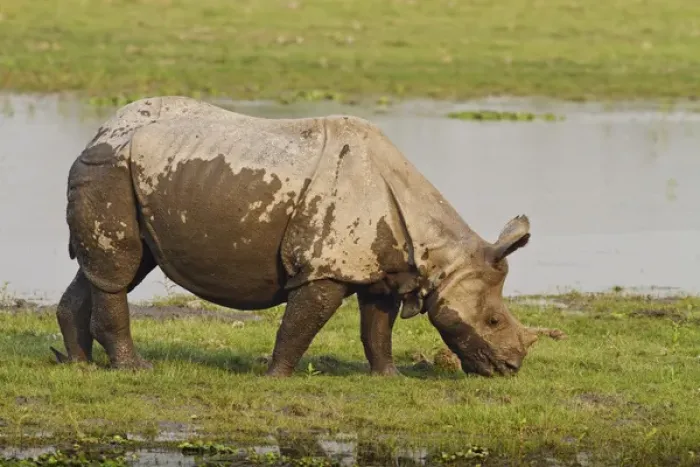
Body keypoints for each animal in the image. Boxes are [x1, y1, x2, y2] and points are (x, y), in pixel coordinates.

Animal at [52, 96, 540, 377]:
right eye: (493, 321)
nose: (512, 367)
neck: (437, 254)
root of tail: (100, 131)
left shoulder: (382, 267)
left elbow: (377, 328)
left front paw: (390, 378)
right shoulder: (325, 266)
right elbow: (301, 324)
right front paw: (277, 378)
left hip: (129, 170)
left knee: (114, 269)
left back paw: (79, 366)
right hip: (110, 169)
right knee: (119, 270)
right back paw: (136, 370)